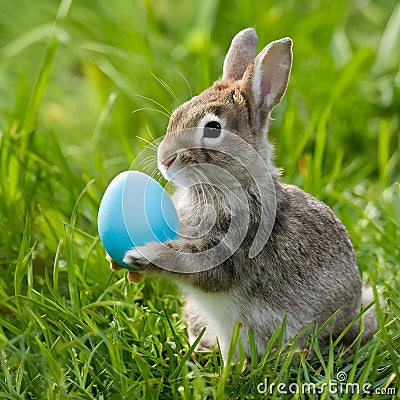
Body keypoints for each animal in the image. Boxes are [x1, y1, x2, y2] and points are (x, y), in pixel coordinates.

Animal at [108, 26, 376, 360]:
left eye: (212, 128)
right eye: (177, 114)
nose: (164, 159)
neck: (231, 184)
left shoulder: (234, 243)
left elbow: (198, 266)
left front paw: (141, 255)